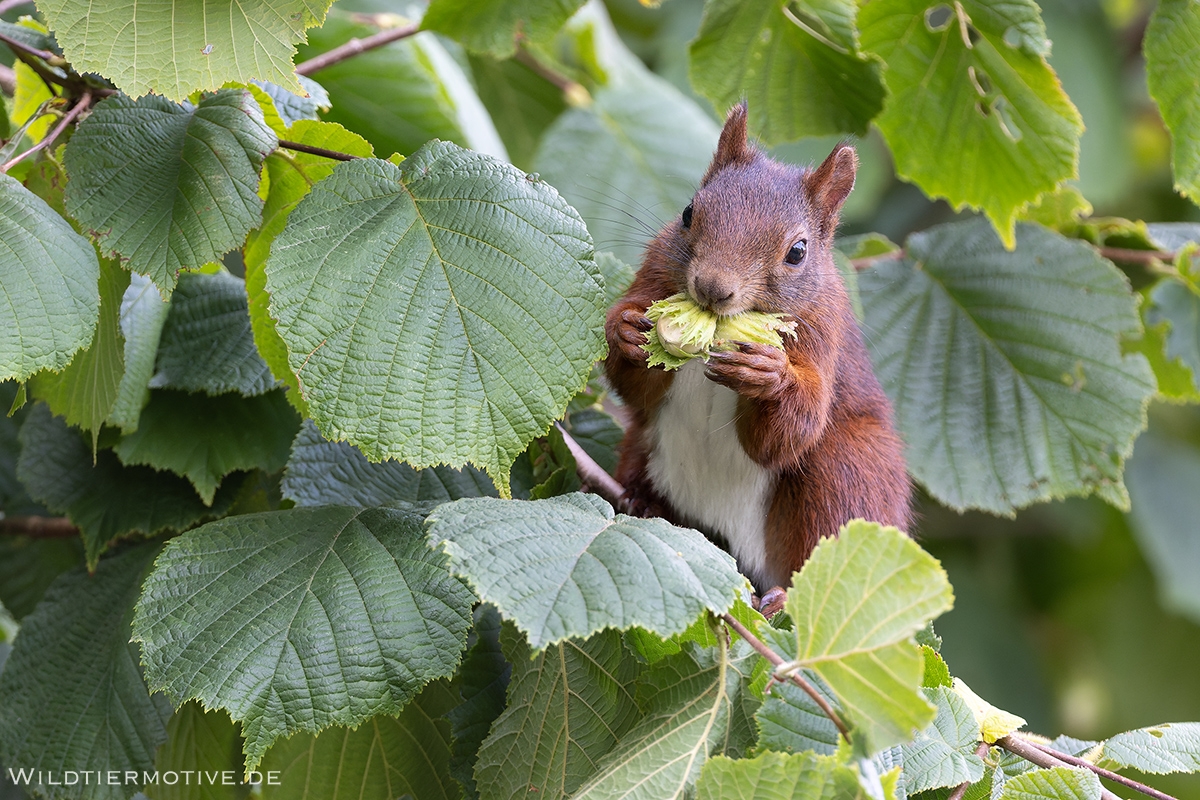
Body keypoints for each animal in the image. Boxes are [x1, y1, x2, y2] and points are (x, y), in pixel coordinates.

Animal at [604, 103, 911, 613]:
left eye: (798, 252)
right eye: (688, 212)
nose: (712, 288)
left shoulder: (823, 336)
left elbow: (786, 435)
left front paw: (770, 376)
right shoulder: (653, 274)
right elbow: (636, 393)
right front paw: (627, 332)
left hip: (848, 474)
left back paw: (786, 598)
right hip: (642, 447)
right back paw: (643, 502)